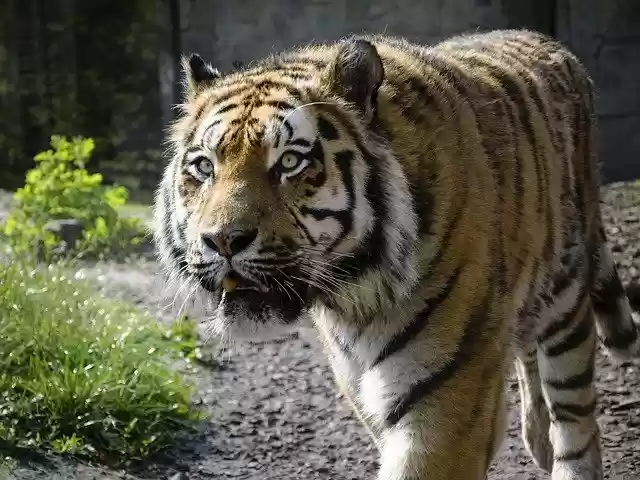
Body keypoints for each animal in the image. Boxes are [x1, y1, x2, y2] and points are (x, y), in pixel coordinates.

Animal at [152, 29, 640, 480]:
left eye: (289, 162)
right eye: (204, 167)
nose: (221, 241)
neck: (357, 292)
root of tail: (546, 39)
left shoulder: (447, 397)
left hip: (566, 298)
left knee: (575, 414)